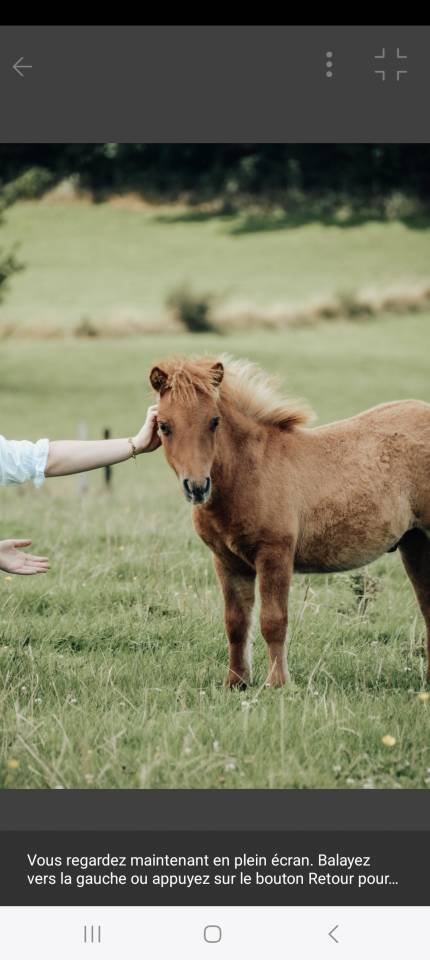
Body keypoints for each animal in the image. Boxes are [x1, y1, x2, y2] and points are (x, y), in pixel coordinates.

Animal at [150, 354, 430, 688]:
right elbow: (236, 622)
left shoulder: (275, 554)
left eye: (214, 421)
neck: (249, 473)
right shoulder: (227, 561)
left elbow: (273, 621)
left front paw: (278, 684)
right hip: (415, 544)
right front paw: (236, 683)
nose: (197, 487)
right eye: (164, 426)